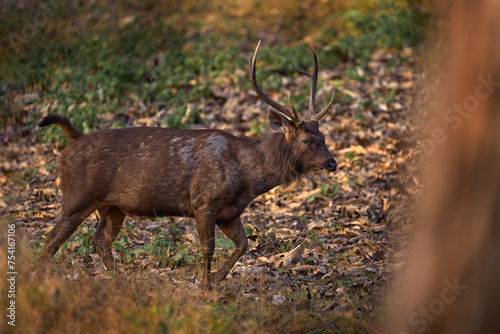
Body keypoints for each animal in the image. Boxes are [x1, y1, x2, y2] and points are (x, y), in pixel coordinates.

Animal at [37, 40, 338, 288]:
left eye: (323, 136)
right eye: (307, 141)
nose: (332, 163)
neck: (248, 177)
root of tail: (74, 140)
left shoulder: (229, 212)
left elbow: (243, 244)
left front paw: (217, 278)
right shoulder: (203, 200)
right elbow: (208, 248)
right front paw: (205, 286)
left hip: (113, 207)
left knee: (100, 240)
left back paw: (119, 280)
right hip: (78, 195)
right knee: (52, 239)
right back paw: (40, 280)